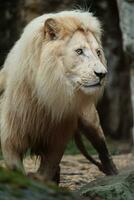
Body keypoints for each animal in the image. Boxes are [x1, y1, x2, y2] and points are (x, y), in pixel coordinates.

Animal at [0, 10, 117, 183]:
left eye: (98, 52)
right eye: (79, 51)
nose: (102, 74)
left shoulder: (57, 138)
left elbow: (48, 167)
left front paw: (38, 178)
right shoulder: (10, 136)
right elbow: (16, 168)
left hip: (91, 122)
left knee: (104, 151)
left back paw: (114, 174)